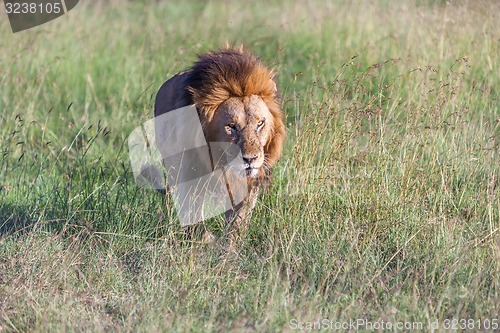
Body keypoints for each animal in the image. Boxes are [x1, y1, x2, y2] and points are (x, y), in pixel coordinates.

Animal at [153, 46, 286, 244]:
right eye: (231, 126)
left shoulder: (249, 184)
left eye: (260, 123)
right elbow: (193, 213)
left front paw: (231, 245)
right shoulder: (190, 174)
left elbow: (238, 221)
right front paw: (204, 240)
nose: (250, 159)